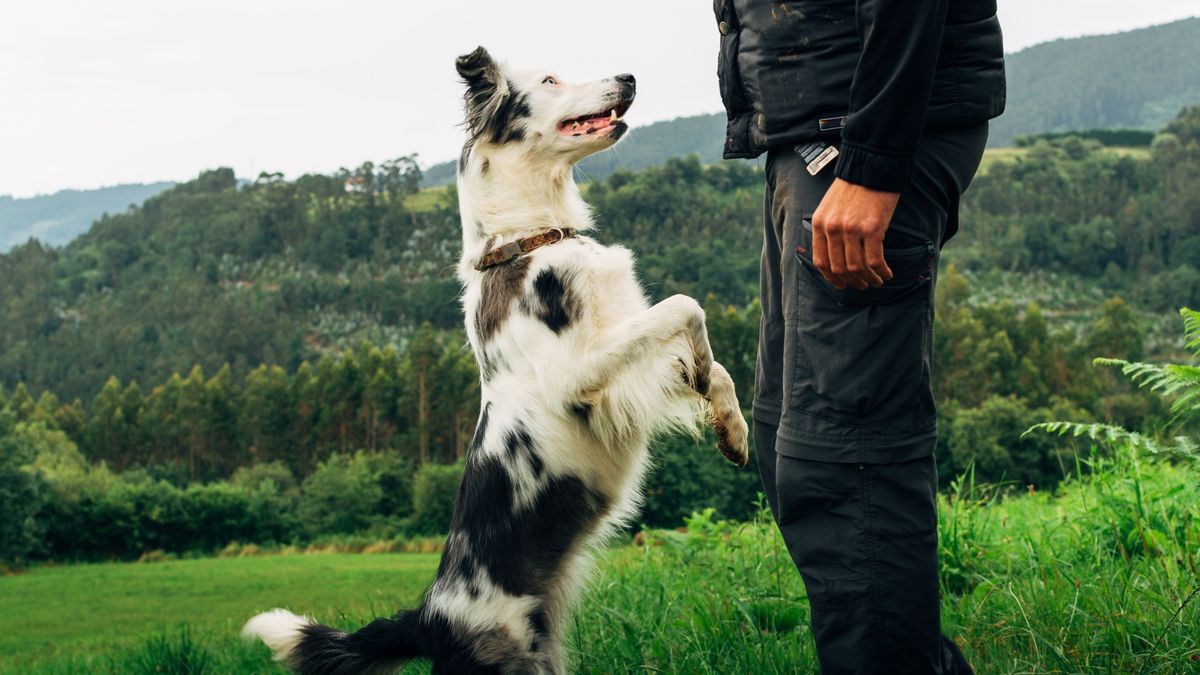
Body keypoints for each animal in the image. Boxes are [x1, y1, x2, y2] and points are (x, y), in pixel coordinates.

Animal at [241, 48, 748, 672]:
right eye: (550, 79)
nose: (629, 76)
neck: (528, 239)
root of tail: (428, 617)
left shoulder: (621, 363)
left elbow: (708, 361)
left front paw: (732, 426)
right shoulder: (576, 377)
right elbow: (686, 306)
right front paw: (704, 372)